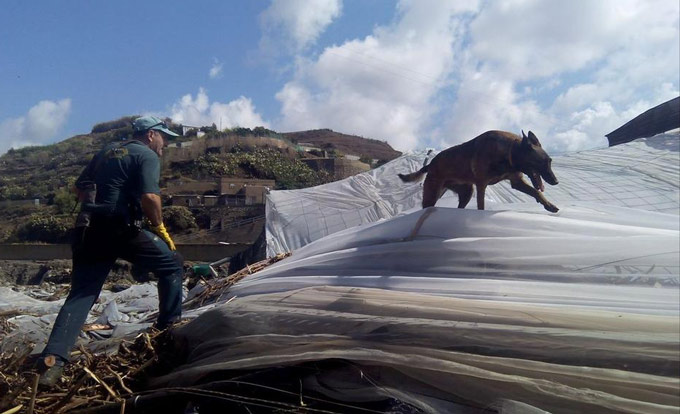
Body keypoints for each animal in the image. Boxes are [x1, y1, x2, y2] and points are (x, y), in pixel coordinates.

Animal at [398, 130, 556, 213]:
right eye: (542, 162)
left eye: (550, 161)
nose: (555, 181)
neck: (510, 151)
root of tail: (429, 164)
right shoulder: (482, 184)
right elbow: (481, 206)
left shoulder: (516, 182)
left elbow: (536, 192)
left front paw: (549, 205)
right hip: (432, 194)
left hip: (467, 192)